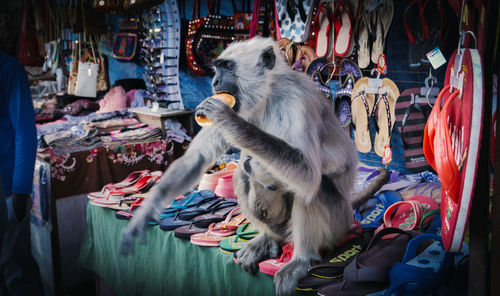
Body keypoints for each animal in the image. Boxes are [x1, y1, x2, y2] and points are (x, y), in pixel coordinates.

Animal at [120, 37, 386, 296]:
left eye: (228, 68)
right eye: (217, 69)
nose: (215, 81)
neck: (267, 95)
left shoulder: (295, 100)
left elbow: (308, 175)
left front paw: (230, 121)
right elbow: (196, 158)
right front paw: (144, 213)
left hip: (337, 224)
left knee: (313, 189)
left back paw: (301, 259)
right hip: (283, 225)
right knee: (242, 175)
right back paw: (268, 238)